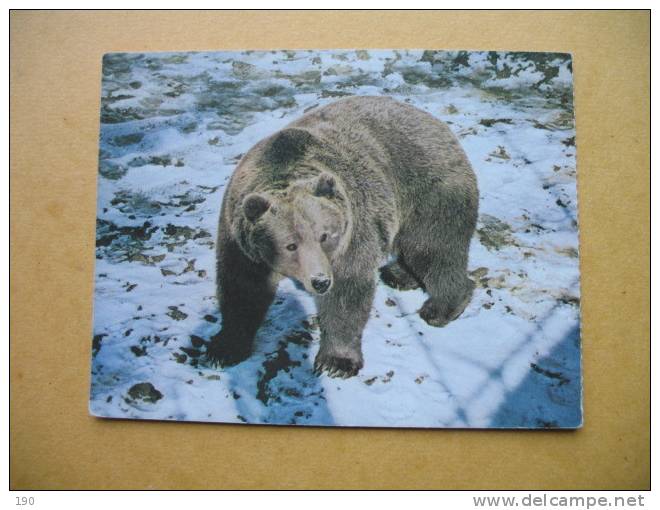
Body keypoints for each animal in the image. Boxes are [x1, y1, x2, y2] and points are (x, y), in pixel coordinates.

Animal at [209, 95, 476, 376]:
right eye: (290, 245)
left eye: (324, 235)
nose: (320, 281)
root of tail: (437, 123)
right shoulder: (240, 241)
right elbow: (242, 287)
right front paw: (224, 348)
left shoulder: (350, 236)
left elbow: (346, 294)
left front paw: (336, 361)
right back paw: (399, 274)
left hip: (426, 191)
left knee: (432, 249)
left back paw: (441, 307)